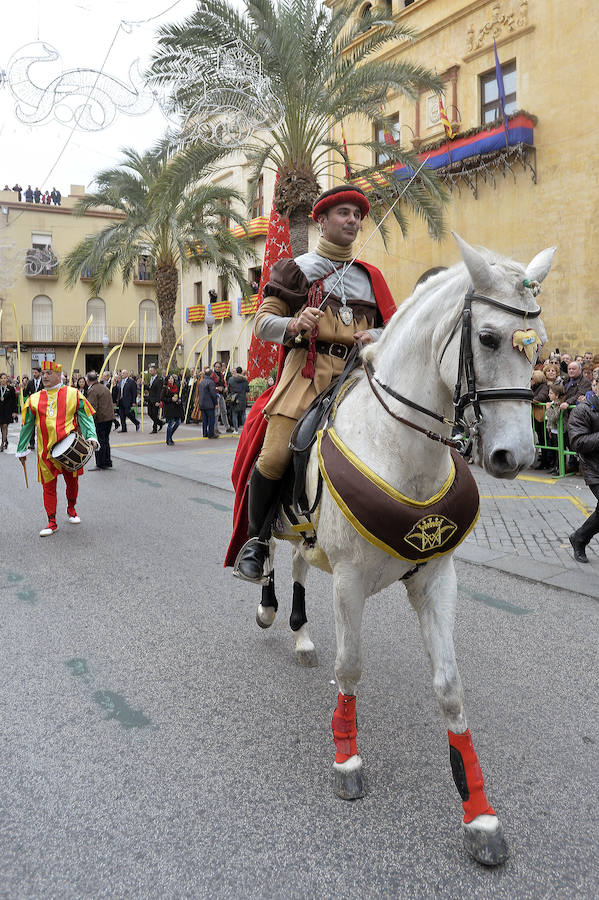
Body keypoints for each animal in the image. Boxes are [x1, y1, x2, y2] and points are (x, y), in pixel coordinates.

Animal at [251, 232, 556, 864]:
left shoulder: (436, 578)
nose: (515, 456)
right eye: (488, 338)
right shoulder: (349, 582)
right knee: (268, 546)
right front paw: (347, 760)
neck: (397, 447)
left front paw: (480, 816)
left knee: (297, 560)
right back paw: (268, 604)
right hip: (274, 486)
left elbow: (450, 687)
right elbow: (351, 667)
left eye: (538, 344)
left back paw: (300, 633)